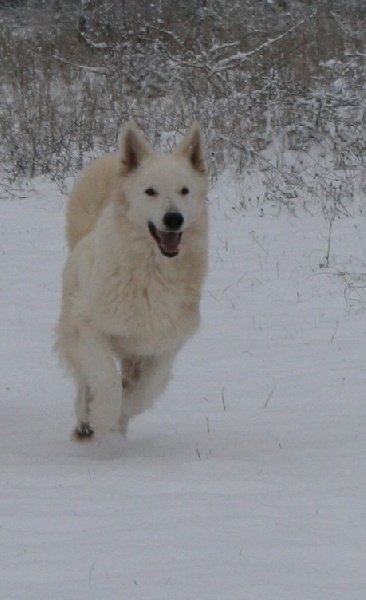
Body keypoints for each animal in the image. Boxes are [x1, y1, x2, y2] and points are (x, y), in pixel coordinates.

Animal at [55, 123, 207, 440]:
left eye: (184, 190)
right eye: (150, 191)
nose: (173, 219)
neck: (152, 272)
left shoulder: (163, 343)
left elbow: (143, 393)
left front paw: (119, 417)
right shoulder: (89, 326)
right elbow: (106, 379)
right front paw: (102, 416)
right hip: (72, 328)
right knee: (83, 380)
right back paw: (85, 421)